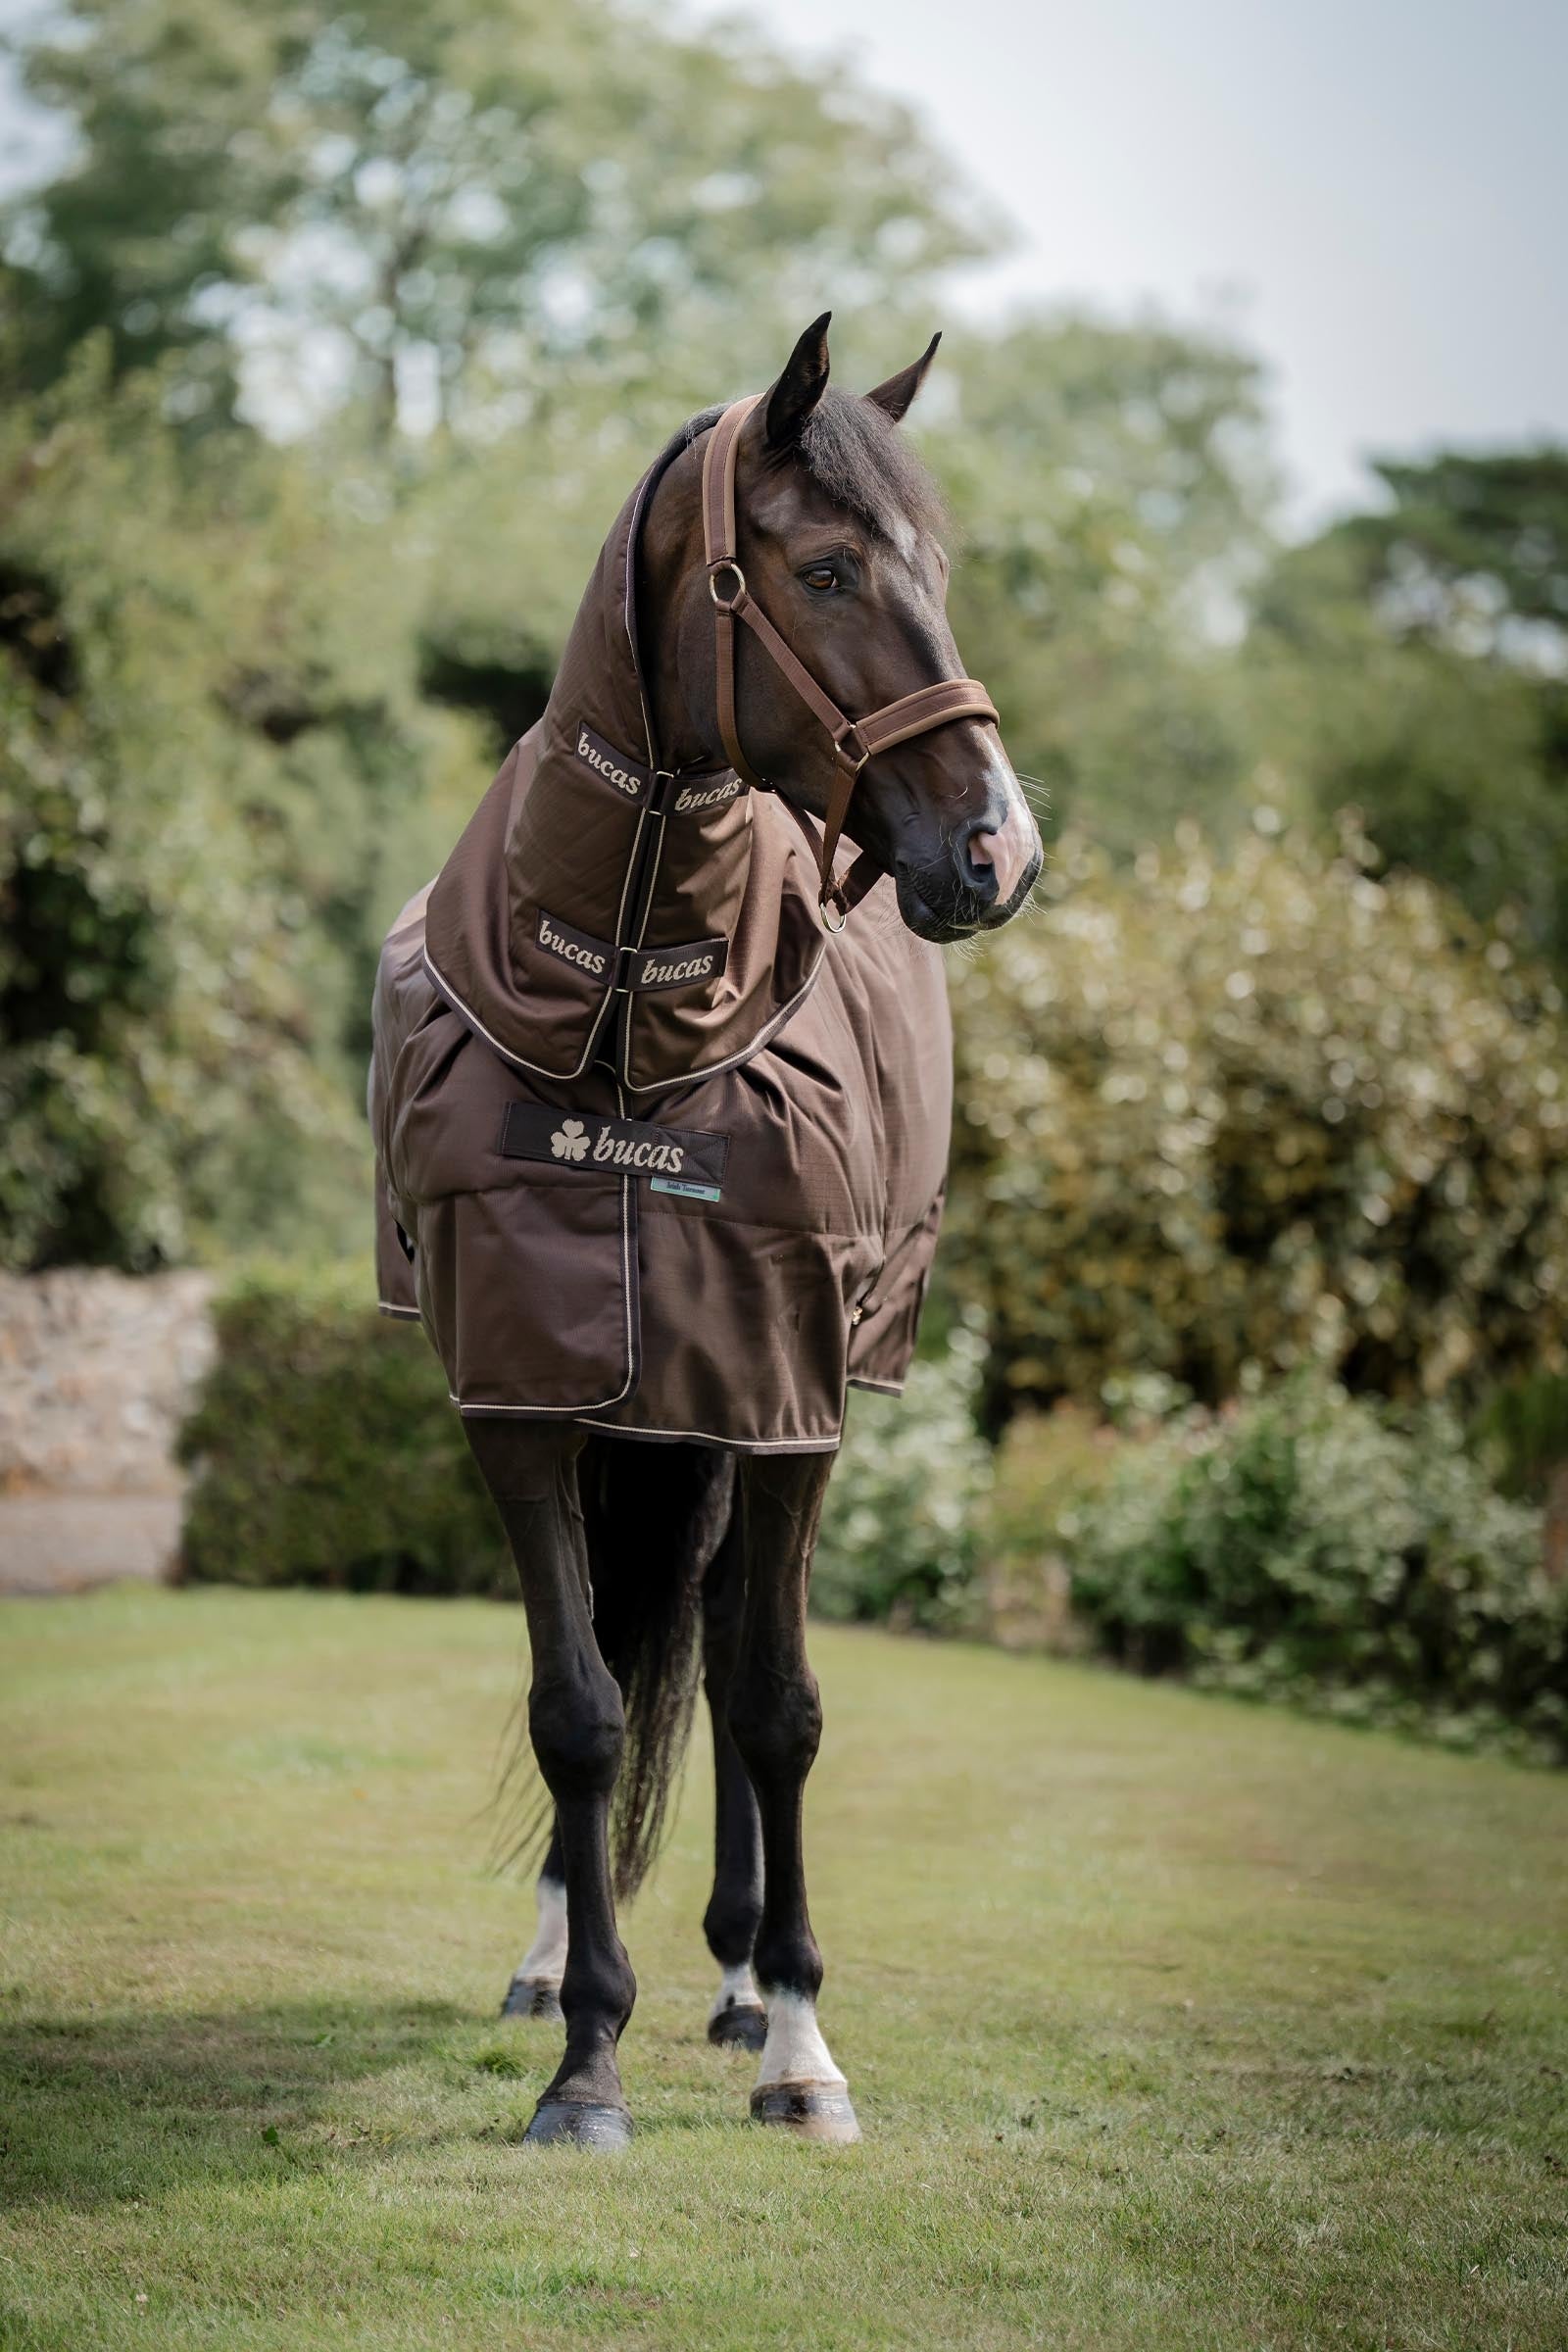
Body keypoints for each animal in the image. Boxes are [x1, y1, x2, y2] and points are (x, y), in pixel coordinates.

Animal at [369, 313, 1041, 2147]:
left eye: (938, 567)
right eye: (823, 568)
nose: (1002, 850)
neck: (626, 1029)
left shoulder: (788, 1395)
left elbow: (777, 1703)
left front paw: (803, 2040)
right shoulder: (520, 1394)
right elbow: (581, 1707)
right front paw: (584, 2054)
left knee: (735, 1644)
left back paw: (746, 1982)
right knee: (637, 1635)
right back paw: (560, 1965)